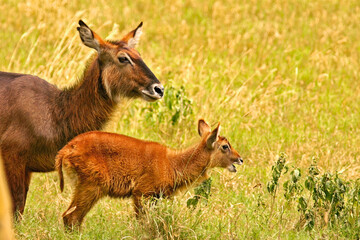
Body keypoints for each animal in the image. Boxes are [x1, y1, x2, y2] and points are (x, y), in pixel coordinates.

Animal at [0, 19, 163, 217]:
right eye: (123, 58)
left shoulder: (27, 168)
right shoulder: (12, 156)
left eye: (138, 54)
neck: (56, 111)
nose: (158, 89)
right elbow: (16, 205)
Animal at [54, 120, 243, 229]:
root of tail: (66, 149)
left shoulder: (158, 197)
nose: (240, 159)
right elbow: (142, 223)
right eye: (225, 146)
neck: (172, 164)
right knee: (70, 217)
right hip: (91, 187)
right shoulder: (141, 193)